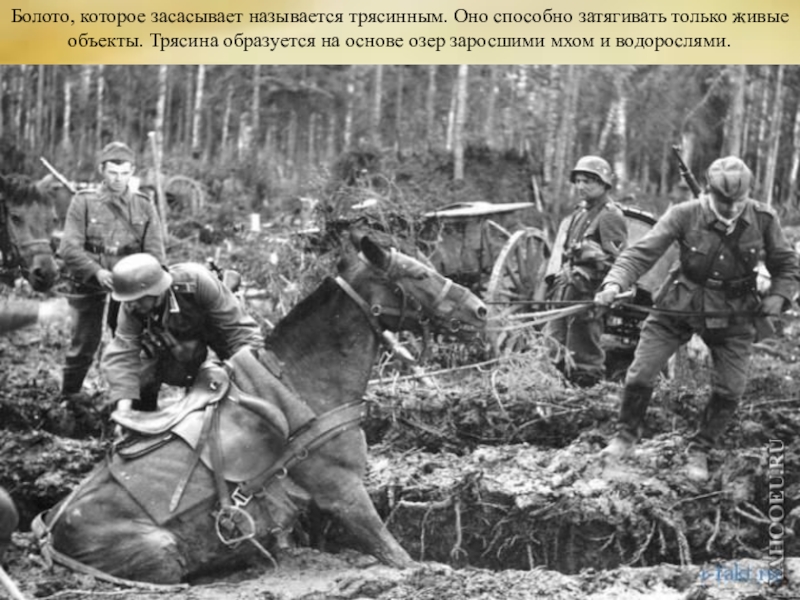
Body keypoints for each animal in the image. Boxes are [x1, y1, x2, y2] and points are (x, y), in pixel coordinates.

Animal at [35, 233, 488, 585]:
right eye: (418, 275)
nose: (480, 309)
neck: (298, 384)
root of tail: (50, 535)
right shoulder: (344, 493)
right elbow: (397, 554)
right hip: (163, 551)